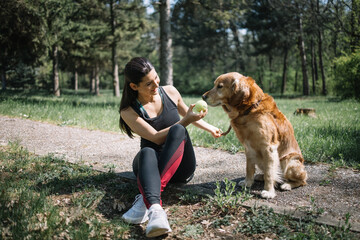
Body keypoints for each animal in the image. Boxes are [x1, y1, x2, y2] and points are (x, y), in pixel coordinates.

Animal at [202, 71, 306, 199]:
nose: (203, 96)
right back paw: (260, 176)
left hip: (288, 162)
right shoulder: (248, 148)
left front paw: (269, 192)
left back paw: (287, 185)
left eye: (220, 86)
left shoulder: (269, 148)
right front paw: (248, 183)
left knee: (302, 181)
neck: (250, 109)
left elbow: (269, 173)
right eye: (214, 85)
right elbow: (249, 168)